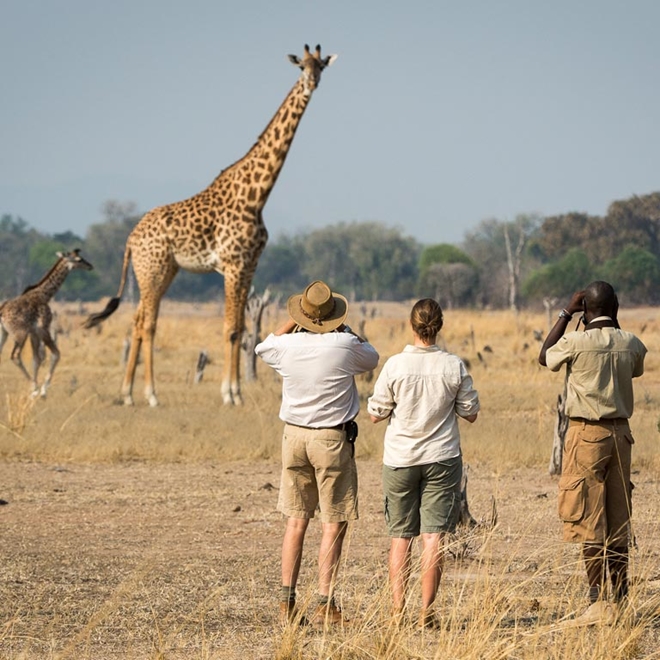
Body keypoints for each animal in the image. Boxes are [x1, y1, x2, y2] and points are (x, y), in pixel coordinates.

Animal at [0, 249, 94, 397]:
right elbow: (56, 354)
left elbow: (36, 360)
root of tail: (2, 312)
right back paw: (33, 386)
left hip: (3, 332)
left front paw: (37, 390)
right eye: (79, 259)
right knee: (15, 356)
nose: (90, 266)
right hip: (19, 333)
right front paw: (41, 390)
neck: (44, 294)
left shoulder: (34, 332)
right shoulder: (43, 329)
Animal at [85, 44, 337, 407]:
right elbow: (230, 329)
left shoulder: (249, 266)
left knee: (136, 321)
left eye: (321, 67)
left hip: (162, 272)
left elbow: (242, 328)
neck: (257, 195)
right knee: (148, 324)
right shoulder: (232, 265)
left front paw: (237, 392)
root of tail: (130, 239)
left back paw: (127, 393)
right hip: (152, 271)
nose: (311, 84)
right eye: (302, 67)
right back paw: (150, 394)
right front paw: (229, 394)